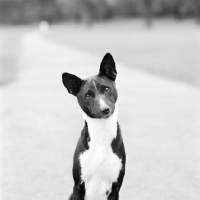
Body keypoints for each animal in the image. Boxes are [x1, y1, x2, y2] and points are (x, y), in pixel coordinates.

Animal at [61, 52, 126, 199]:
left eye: (106, 88)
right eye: (88, 96)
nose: (105, 110)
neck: (102, 131)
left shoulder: (115, 188)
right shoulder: (78, 187)